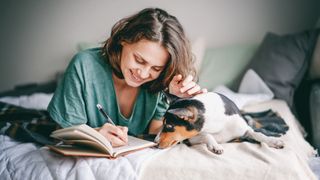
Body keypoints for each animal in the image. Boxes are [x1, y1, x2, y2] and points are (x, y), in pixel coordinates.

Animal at [155, 92, 284, 154]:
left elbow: (258, 134)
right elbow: (207, 135)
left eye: (169, 126)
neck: (217, 125)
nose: (155, 142)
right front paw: (215, 146)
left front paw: (273, 141)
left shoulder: (244, 129)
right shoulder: (191, 138)